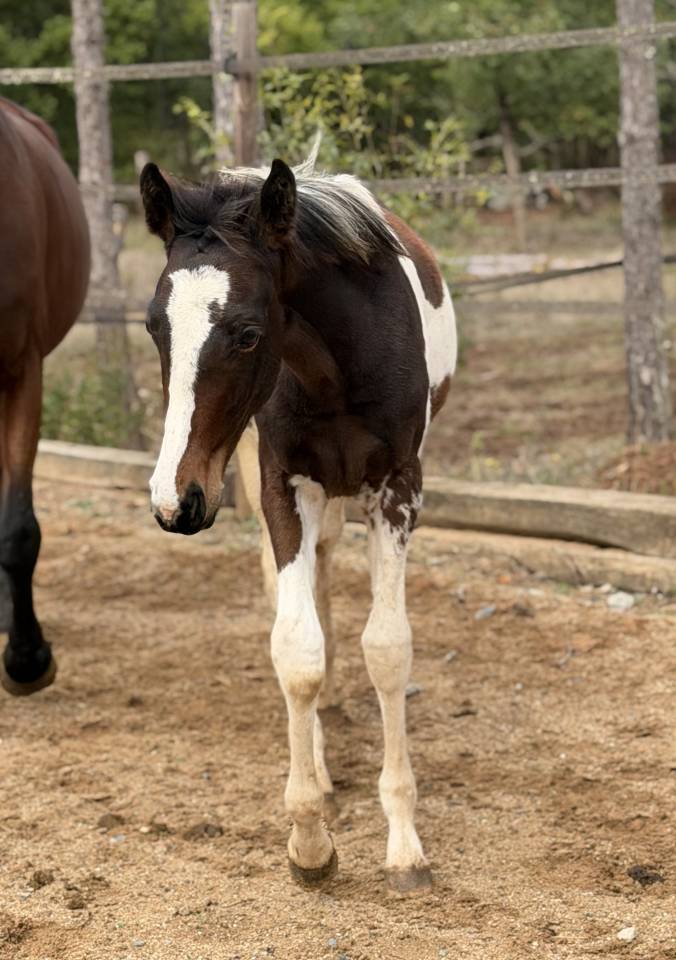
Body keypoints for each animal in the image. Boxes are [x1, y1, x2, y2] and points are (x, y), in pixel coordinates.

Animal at [139, 149, 457, 893]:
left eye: (249, 334)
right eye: (155, 326)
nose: (174, 500)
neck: (336, 369)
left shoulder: (398, 489)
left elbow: (387, 648)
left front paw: (404, 845)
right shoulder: (283, 485)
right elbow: (296, 649)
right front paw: (310, 839)